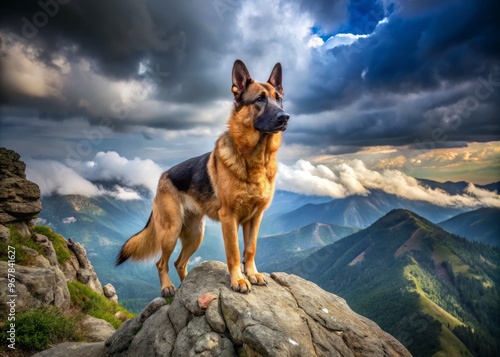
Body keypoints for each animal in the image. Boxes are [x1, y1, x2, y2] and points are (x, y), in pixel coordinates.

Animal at [116, 59, 290, 296]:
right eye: (260, 99)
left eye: (278, 98)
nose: (285, 117)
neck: (255, 159)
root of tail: (162, 176)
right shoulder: (229, 218)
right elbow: (234, 252)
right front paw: (238, 279)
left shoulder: (255, 218)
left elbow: (250, 249)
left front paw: (252, 273)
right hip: (171, 232)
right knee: (161, 263)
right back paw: (168, 287)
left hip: (195, 234)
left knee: (179, 263)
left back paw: (187, 286)